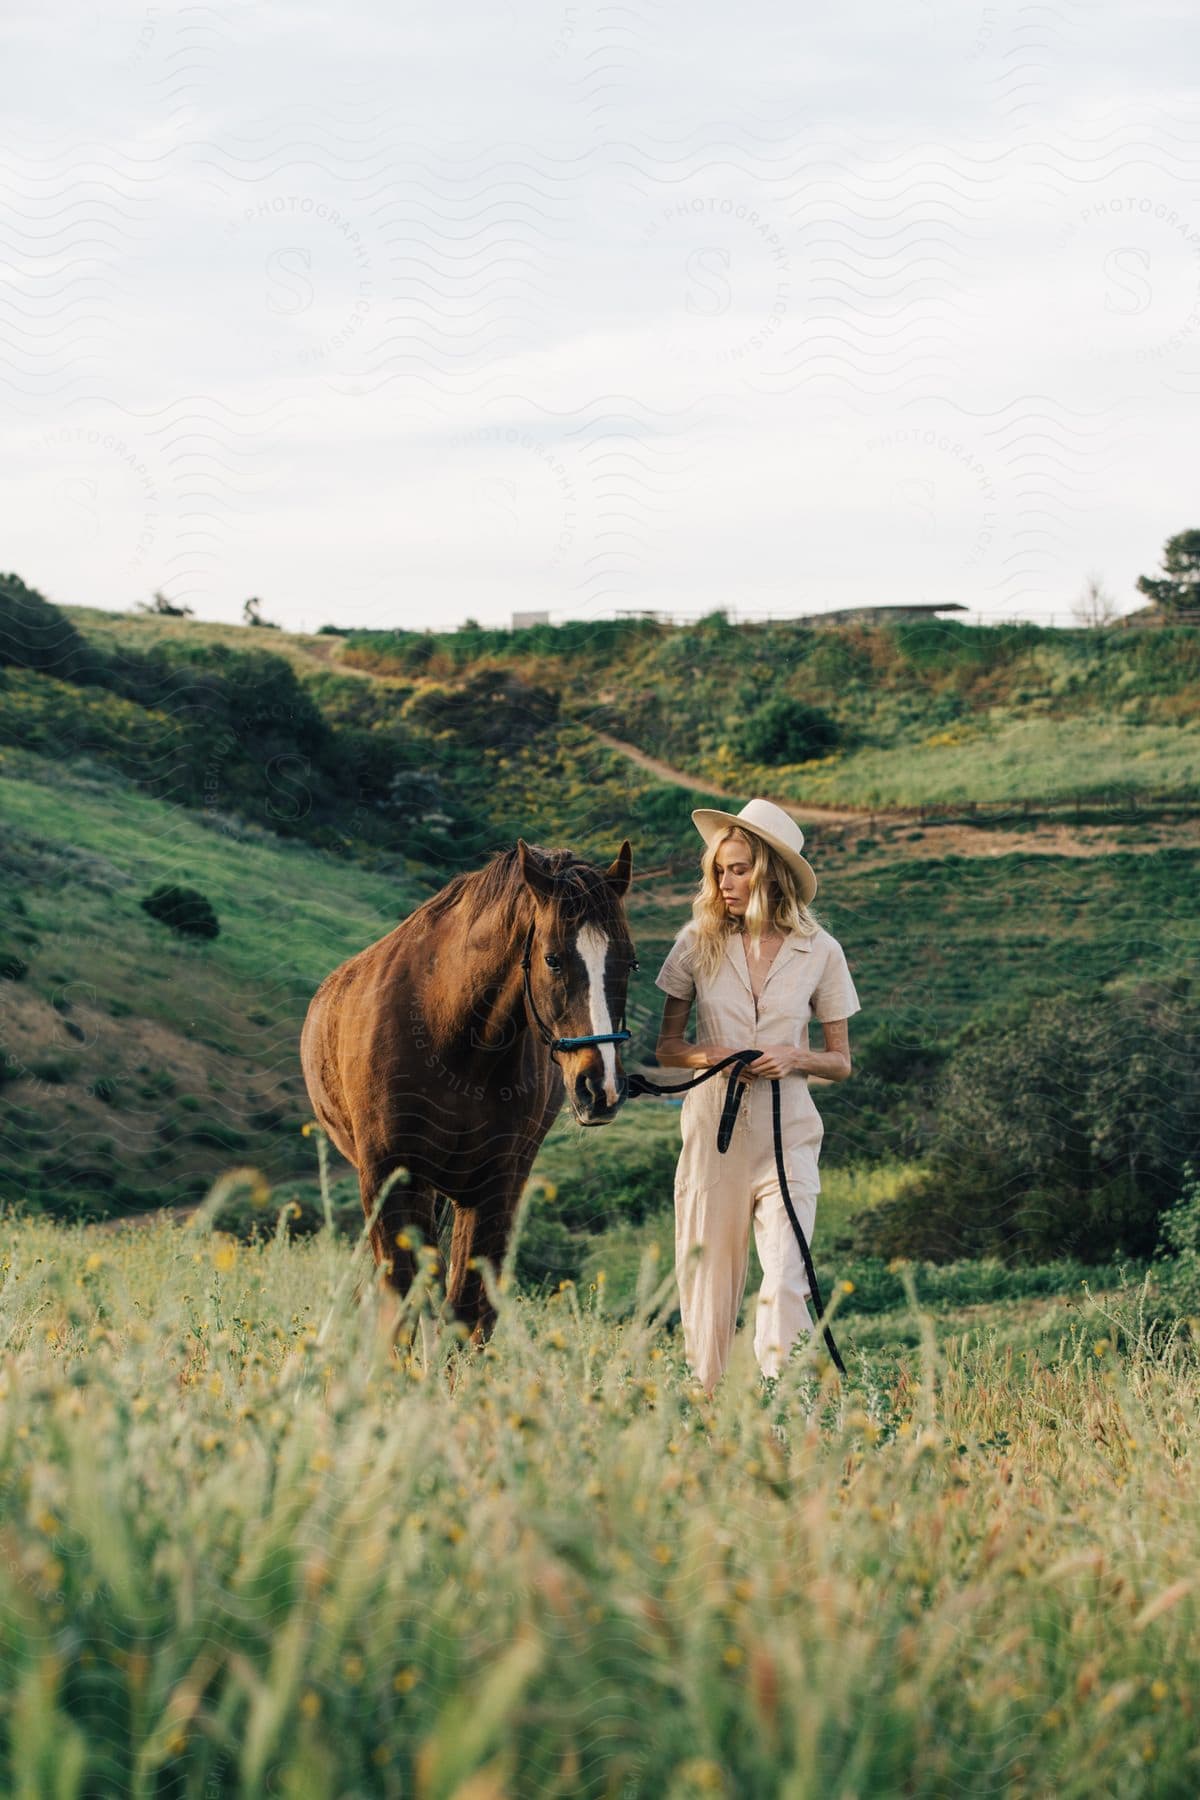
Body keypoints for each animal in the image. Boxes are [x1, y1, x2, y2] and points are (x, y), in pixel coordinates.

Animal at [300, 835, 636, 1346]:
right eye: (553, 959)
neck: (454, 1038)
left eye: (630, 962)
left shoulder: (492, 1188)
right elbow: (404, 1302)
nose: (600, 1087)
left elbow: (465, 1314)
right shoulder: (387, 1178)